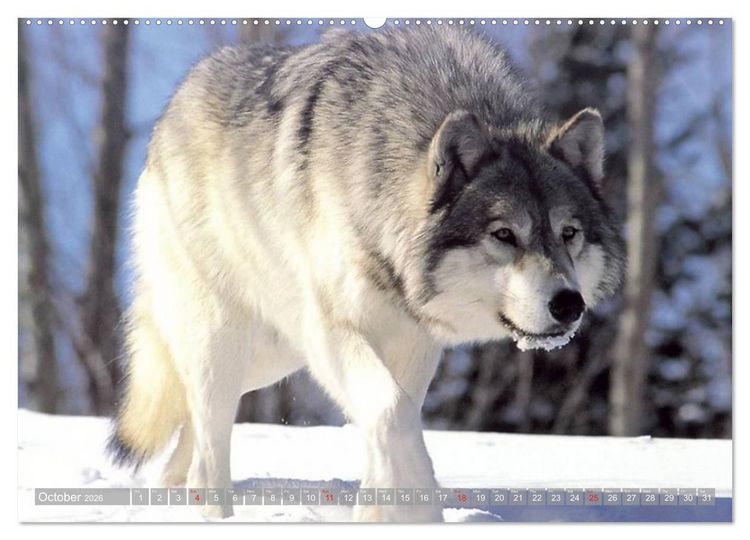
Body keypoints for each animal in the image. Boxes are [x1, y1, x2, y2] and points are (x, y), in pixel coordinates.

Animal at [108, 25, 625, 522]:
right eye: (504, 234)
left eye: (568, 233)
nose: (569, 304)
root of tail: (175, 103)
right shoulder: (333, 331)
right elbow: (393, 412)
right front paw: (417, 508)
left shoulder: (414, 341)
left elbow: (394, 419)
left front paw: (381, 513)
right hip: (228, 339)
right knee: (207, 447)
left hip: (272, 357)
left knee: (189, 433)